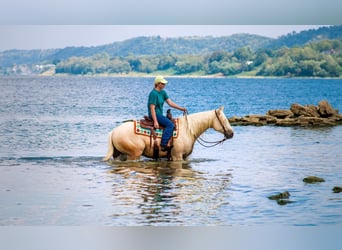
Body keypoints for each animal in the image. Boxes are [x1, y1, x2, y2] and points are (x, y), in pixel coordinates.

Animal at [103, 105, 234, 160]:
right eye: (223, 119)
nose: (231, 133)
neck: (188, 130)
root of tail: (114, 131)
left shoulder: (185, 157)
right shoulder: (177, 156)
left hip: (120, 154)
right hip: (134, 154)